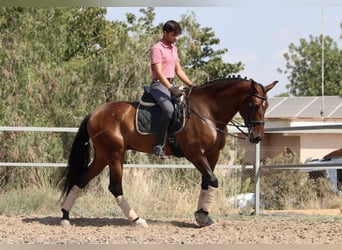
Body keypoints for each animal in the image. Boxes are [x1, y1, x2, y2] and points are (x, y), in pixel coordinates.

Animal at [60, 76, 276, 227]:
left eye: (266, 106)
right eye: (254, 104)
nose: (257, 138)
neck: (208, 111)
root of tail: (94, 113)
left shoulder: (212, 155)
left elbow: (207, 182)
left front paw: (202, 215)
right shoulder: (195, 154)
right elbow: (213, 180)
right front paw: (202, 217)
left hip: (103, 156)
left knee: (81, 179)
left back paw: (65, 216)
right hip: (115, 155)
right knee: (115, 187)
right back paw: (137, 220)